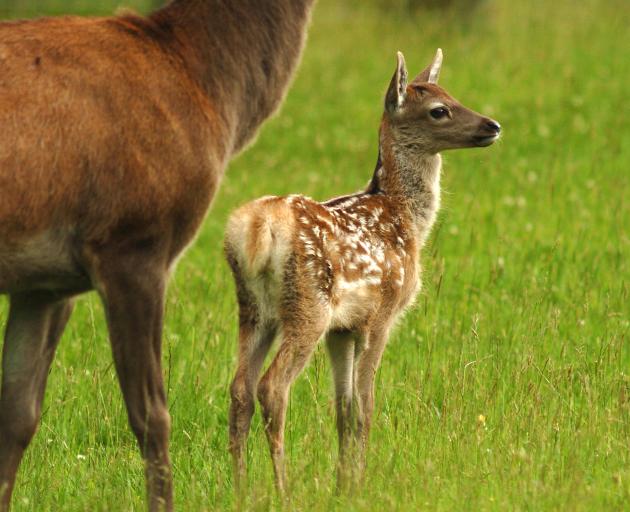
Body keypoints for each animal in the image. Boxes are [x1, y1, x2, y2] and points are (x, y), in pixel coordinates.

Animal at [225, 50, 502, 494]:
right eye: (438, 110)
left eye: (451, 94)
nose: (492, 126)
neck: (404, 219)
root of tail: (257, 230)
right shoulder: (382, 314)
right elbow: (365, 405)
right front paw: (361, 485)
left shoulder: (343, 328)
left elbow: (343, 407)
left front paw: (342, 485)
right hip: (308, 305)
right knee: (272, 387)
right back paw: (282, 489)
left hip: (254, 310)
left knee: (240, 389)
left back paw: (241, 489)